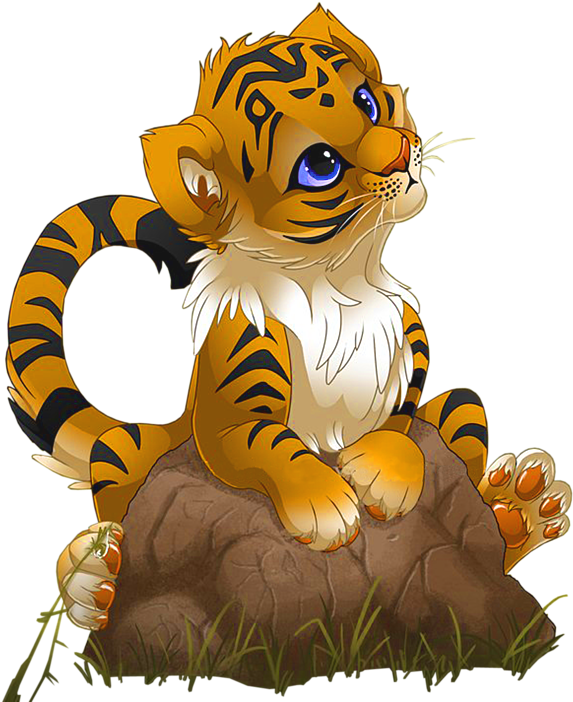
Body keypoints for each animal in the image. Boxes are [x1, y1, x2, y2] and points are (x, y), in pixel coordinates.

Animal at [6, 4, 571, 633]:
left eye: (367, 102)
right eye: (320, 165)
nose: (402, 152)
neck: (343, 277)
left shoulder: (413, 371)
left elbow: (401, 426)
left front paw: (383, 475)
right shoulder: (230, 416)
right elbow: (271, 442)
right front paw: (325, 507)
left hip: (462, 407)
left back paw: (522, 506)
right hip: (128, 448)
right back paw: (93, 581)